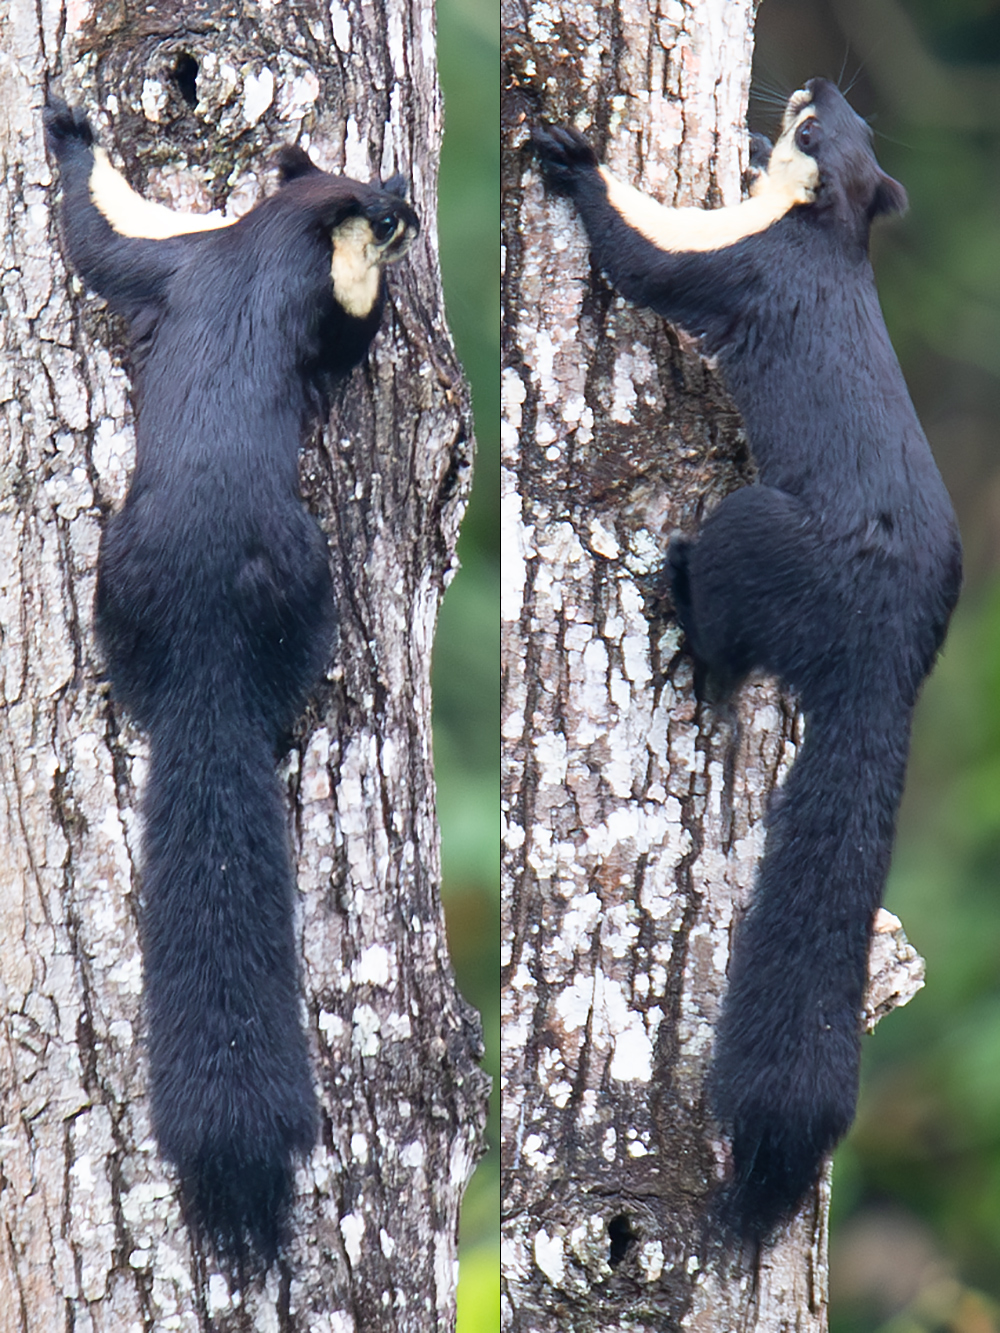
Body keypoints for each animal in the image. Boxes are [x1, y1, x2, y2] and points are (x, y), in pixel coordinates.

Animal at [42, 101, 418, 1269]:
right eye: (381, 211)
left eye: (338, 167)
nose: (405, 189)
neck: (260, 249)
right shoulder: (299, 292)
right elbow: (350, 331)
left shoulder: (177, 258)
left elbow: (97, 234)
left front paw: (64, 129)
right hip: (306, 583)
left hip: (114, 587)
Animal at [536, 80, 965, 1237]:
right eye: (842, 121)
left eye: (815, 133)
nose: (813, 91)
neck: (828, 230)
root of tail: (885, 658)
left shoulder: (731, 258)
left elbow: (643, 257)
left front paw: (570, 160)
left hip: (756, 536)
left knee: (730, 648)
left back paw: (684, 600)